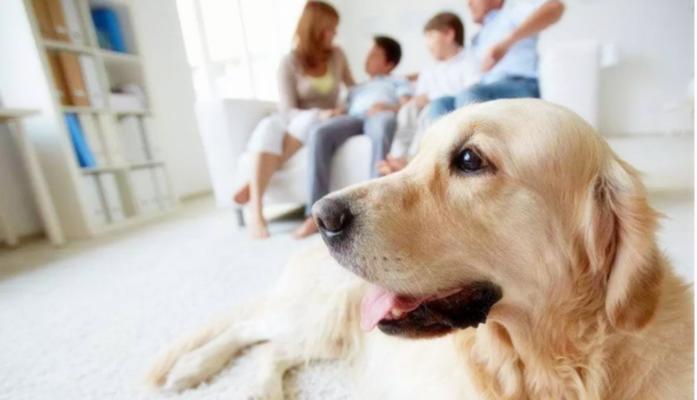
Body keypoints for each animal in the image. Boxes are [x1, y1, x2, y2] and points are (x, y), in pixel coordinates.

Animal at [147, 99, 692, 400]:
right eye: (416, 155)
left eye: (470, 159)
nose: (321, 216)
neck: (541, 365)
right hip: (323, 314)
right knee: (252, 331)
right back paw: (198, 369)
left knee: (271, 347)